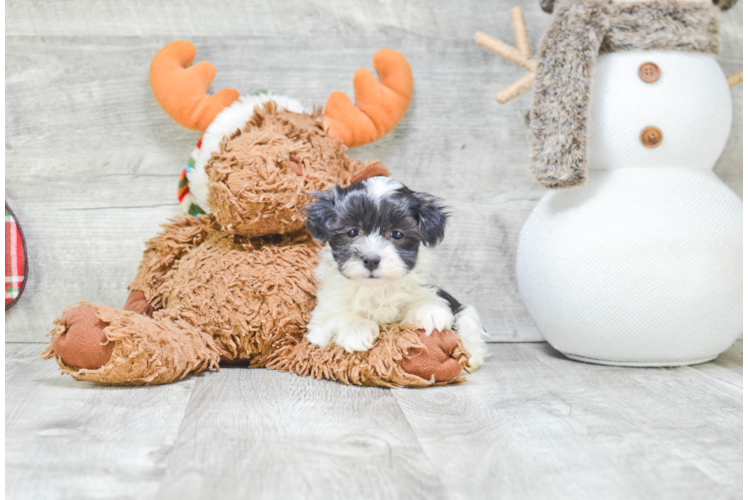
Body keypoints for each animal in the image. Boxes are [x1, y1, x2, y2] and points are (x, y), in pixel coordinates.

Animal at [306, 176, 490, 368]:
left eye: (397, 234)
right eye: (353, 232)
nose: (371, 260)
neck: (376, 289)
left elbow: (426, 298)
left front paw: (428, 310)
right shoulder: (319, 326)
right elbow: (335, 319)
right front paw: (355, 329)